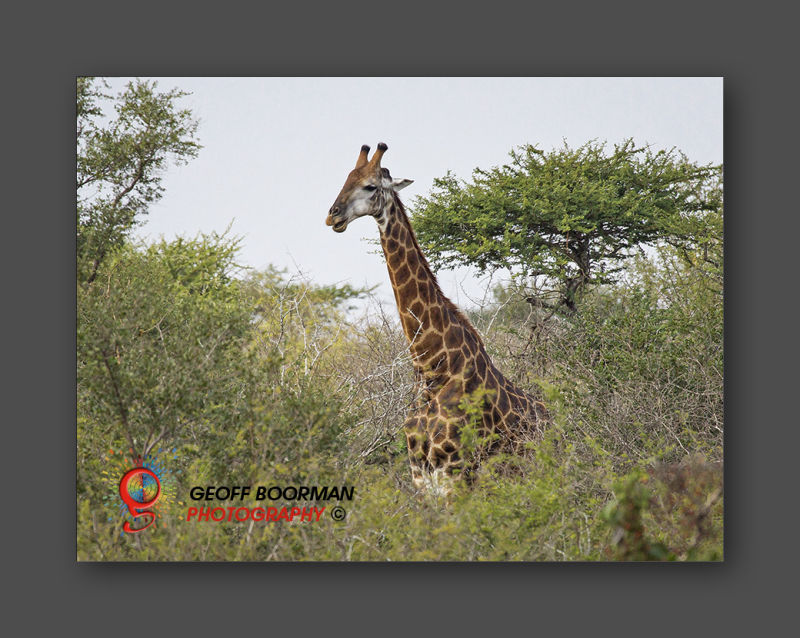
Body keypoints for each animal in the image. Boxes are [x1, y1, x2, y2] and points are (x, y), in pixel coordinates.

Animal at [326, 143, 547, 494]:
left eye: (370, 186)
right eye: (346, 178)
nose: (332, 215)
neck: (431, 369)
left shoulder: (454, 475)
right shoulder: (421, 477)